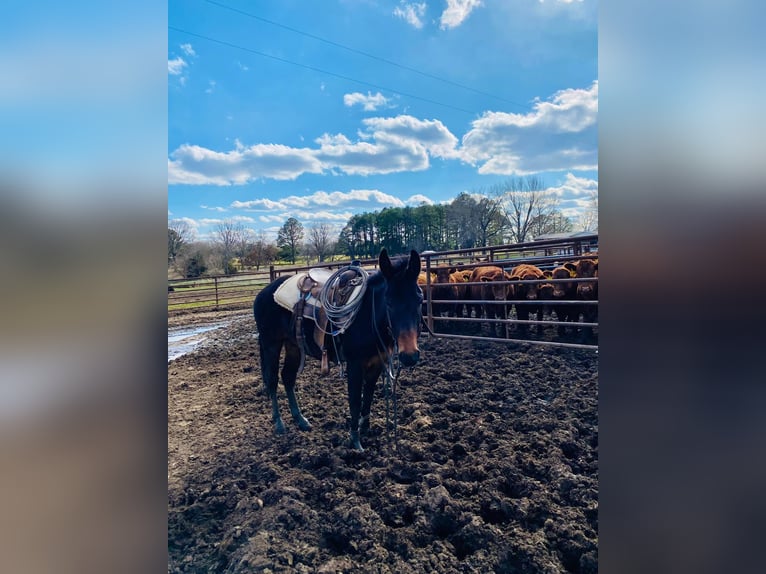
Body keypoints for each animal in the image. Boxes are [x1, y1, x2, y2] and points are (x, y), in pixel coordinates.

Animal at [253, 249, 423, 451]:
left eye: (420, 299)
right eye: (388, 302)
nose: (410, 356)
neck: (368, 315)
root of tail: (264, 292)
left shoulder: (376, 363)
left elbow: (368, 397)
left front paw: (366, 429)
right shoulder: (354, 365)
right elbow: (355, 400)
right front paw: (355, 441)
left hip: (292, 345)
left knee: (288, 377)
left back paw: (301, 420)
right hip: (271, 344)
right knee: (272, 380)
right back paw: (279, 423)